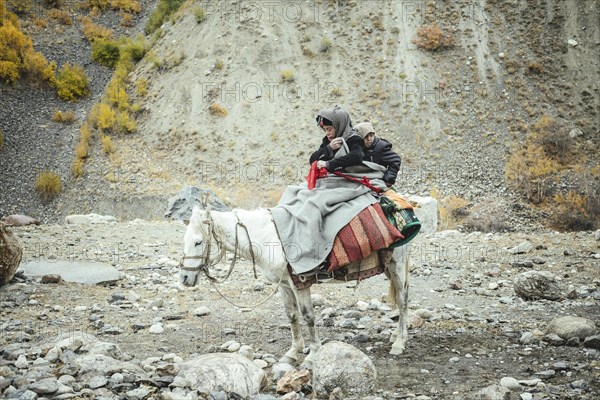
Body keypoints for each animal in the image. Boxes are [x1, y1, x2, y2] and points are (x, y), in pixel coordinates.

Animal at [180, 205, 410, 368]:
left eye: (199, 242)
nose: (184, 277)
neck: (269, 238)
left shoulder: (301, 283)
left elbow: (308, 317)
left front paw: (313, 355)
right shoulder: (284, 285)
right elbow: (291, 316)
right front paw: (292, 353)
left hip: (398, 265)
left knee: (403, 300)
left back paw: (399, 343)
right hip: (388, 267)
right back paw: (395, 335)